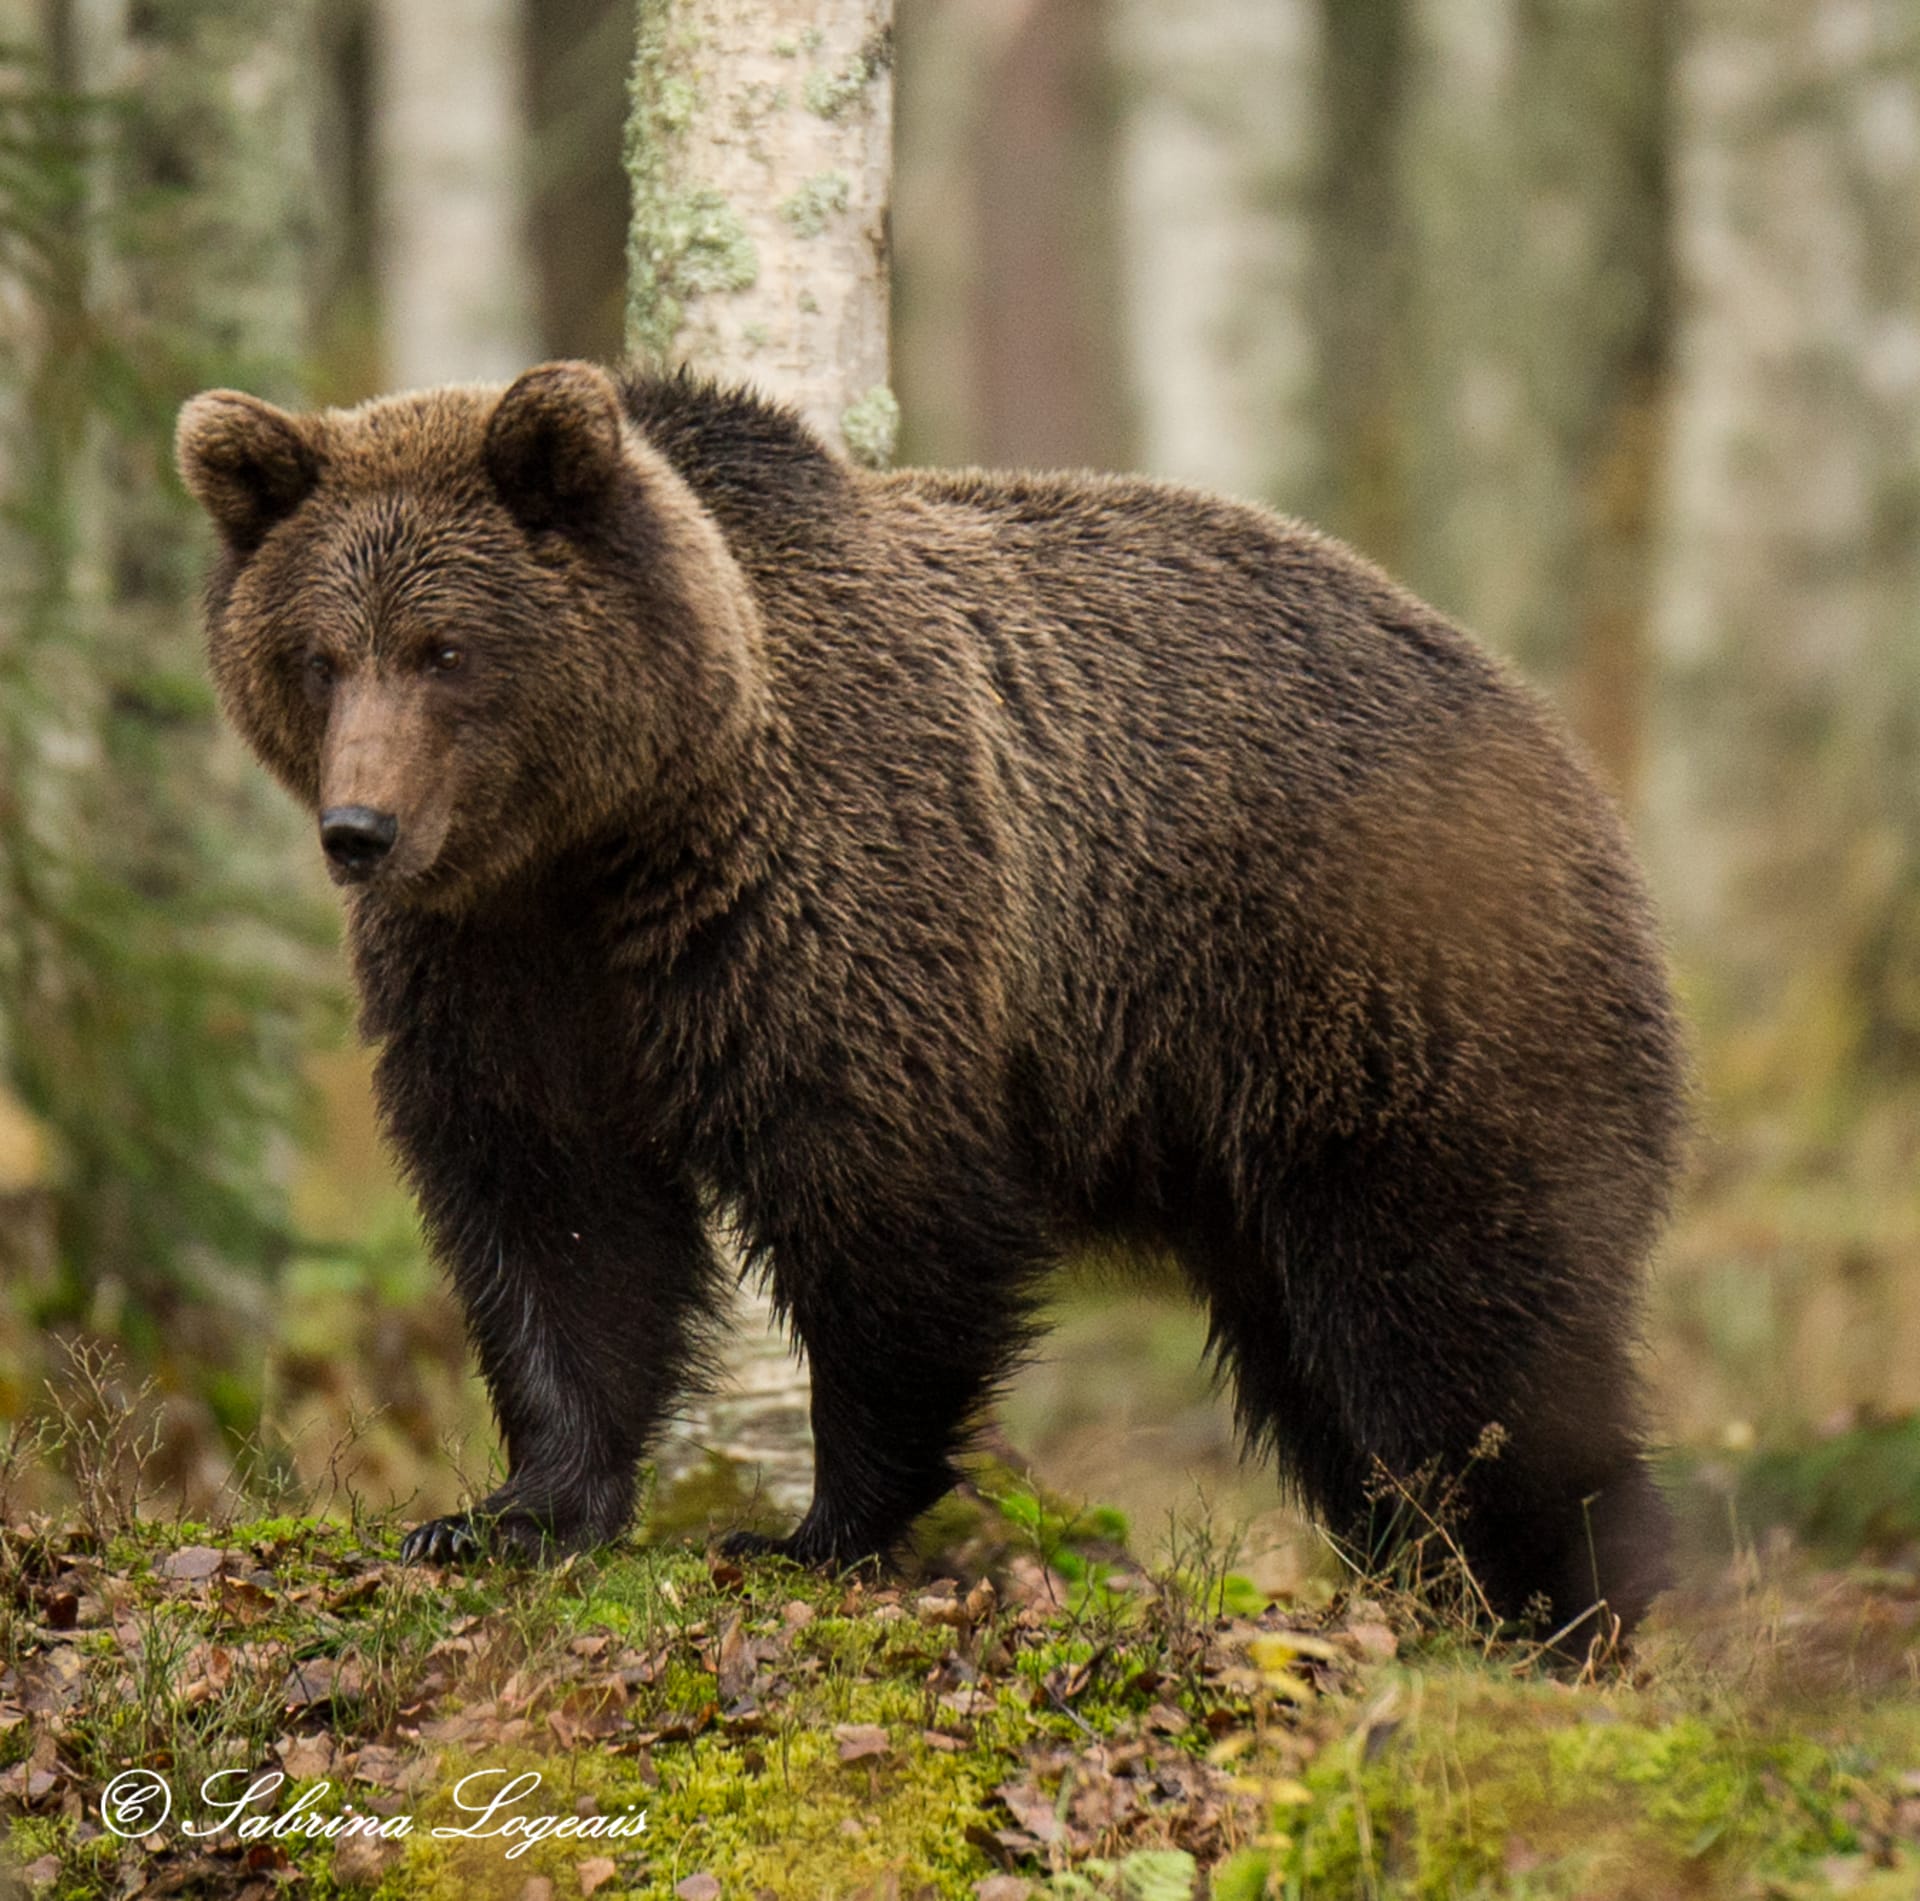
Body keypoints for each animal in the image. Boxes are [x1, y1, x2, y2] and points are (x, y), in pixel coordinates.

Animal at [176, 359, 1687, 1642]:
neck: (611, 839)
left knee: (1459, 1318)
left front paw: (814, 1526)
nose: (360, 830)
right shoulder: (498, 966)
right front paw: (508, 1511)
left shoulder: (823, 901)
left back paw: (1555, 1603)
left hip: (1394, 998)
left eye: (444, 647)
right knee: (1326, 1362)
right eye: (319, 653)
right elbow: (556, 1213)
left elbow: (881, 1212)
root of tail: (1553, 742)